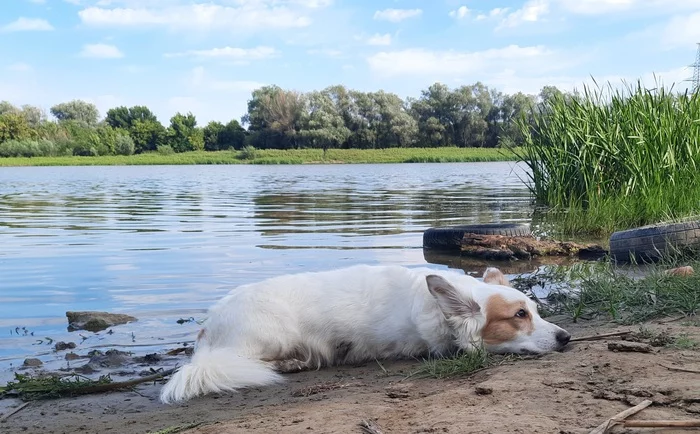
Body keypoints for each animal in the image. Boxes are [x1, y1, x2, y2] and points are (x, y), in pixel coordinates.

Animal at [161, 264, 572, 404]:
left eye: (536, 310)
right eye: (519, 315)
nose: (566, 338)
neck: (433, 307)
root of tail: (207, 331)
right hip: (269, 334)